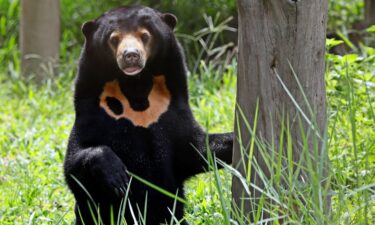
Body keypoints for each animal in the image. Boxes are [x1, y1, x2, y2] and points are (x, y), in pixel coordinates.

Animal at [64, 5, 234, 225]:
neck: (136, 88)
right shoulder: (94, 112)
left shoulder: (172, 111)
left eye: (145, 35)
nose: (131, 55)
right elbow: (74, 163)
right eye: (114, 38)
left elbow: (197, 148)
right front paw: (118, 176)